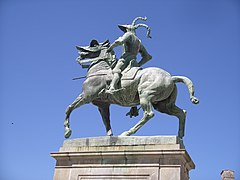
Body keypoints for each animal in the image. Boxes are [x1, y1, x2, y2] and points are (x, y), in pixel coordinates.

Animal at [64, 40, 199, 139]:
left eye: (93, 45)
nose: (79, 48)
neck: (99, 70)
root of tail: (171, 77)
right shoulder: (103, 105)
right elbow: (106, 121)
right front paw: (109, 136)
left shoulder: (86, 96)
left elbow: (69, 108)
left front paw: (67, 131)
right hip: (163, 105)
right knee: (182, 113)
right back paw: (180, 136)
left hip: (145, 95)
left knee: (148, 114)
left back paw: (127, 133)